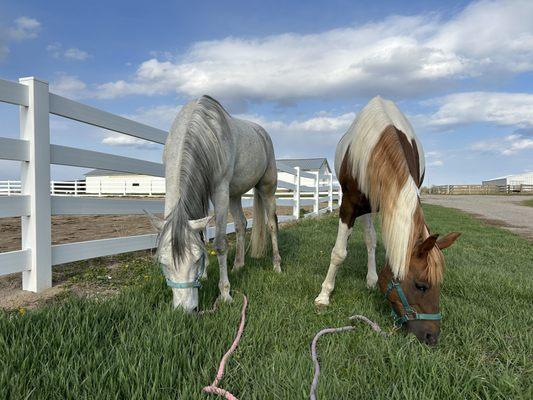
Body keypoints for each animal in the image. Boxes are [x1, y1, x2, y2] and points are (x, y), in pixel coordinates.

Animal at [148, 94, 280, 312]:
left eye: (195, 260)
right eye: (163, 263)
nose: (186, 310)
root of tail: (262, 133)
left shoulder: (219, 192)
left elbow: (219, 243)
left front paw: (225, 294)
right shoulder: (205, 193)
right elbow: (202, 236)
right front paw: (205, 275)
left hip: (266, 188)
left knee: (271, 224)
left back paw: (277, 266)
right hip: (234, 194)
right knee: (241, 224)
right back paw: (238, 265)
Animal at [314, 96, 460, 344]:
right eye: (421, 286)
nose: (432, 336)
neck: (378, 143)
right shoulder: (349, 205)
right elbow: (339, 253)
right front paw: (324, 295)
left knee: (371, 241)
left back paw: (371, 279)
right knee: (369, 238)